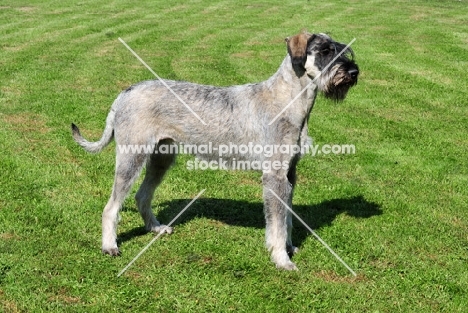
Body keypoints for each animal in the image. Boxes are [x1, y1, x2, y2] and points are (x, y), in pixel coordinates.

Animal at [72, 31, 358, 268]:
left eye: (344, 49)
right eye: (325, 50)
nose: (353, 72)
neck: (287, 100)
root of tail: (125, 93)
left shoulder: (289, 174)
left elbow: (286, 217)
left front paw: (288, 247)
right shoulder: (275, 176)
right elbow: (276, 222)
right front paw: (281, 259)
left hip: (161, 158)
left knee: (142, 196)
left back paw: (155, 228)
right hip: (132, 157)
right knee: (112, 206)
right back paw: (110, 246)